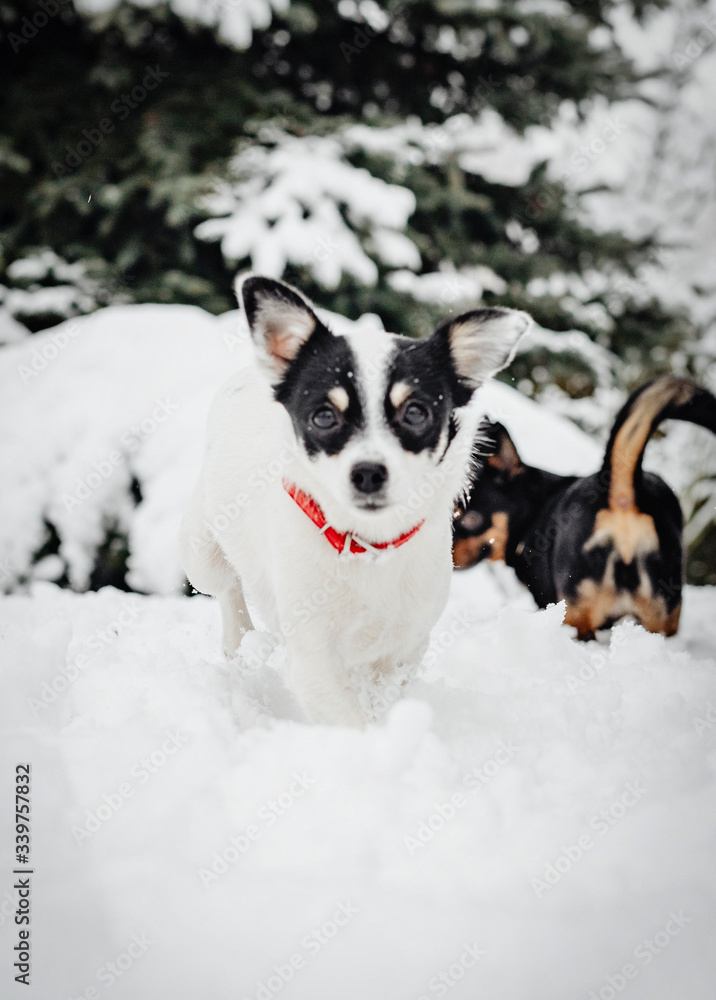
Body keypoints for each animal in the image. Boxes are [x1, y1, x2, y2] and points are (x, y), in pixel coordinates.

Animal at [180, 276, 532, 728]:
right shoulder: (313, 657)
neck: (368, 544)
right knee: (227, 590)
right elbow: (348, 717)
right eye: (323, 417)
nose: (367, 472)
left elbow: (380, 698)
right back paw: (238, 641)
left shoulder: (405, 647)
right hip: (202, 552)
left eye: (415, 413)